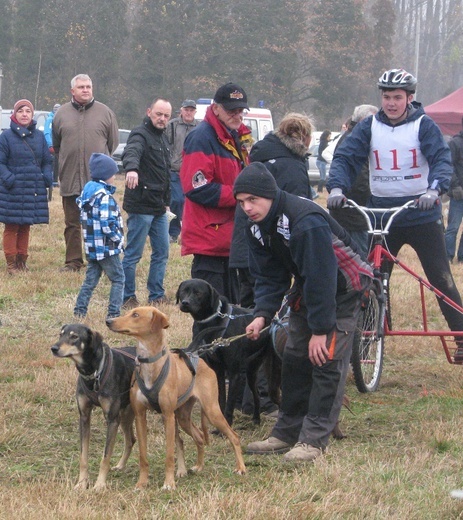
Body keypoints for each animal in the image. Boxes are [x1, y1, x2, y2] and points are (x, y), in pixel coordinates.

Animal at [52, 322, 137, 490]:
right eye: (60, 334)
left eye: (74, 336)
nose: (54, 348)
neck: (93, 372)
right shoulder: (84, 416)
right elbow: (83, 456)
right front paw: (81, 483)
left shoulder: (112, 419)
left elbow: (105, 456)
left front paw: (99, 485)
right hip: (125, 415)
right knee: (131, 439)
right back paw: (121, 465)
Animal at [107, 306, 248, 490]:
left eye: (136, 315)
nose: (108, 321)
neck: (150, 365)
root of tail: (197, 357)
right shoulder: (140, 416)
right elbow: (143, 455)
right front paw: (142, 483)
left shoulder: (167, 415)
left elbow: (169, 455)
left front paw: (169, 483)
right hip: (182, 416)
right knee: (199, 436)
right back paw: (199, 466)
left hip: (211, 411)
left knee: (234, 436)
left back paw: (241, 467)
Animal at [176, 278, 280, 424]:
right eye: (183, 291)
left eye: (198, 293)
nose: (185, 303)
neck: (213, 322)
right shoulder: (218, 371)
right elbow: (221, 401)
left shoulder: (235, 374)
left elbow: (229, 405)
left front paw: (227, 424)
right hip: (252, 371)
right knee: (257, 395)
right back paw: (256, 419)